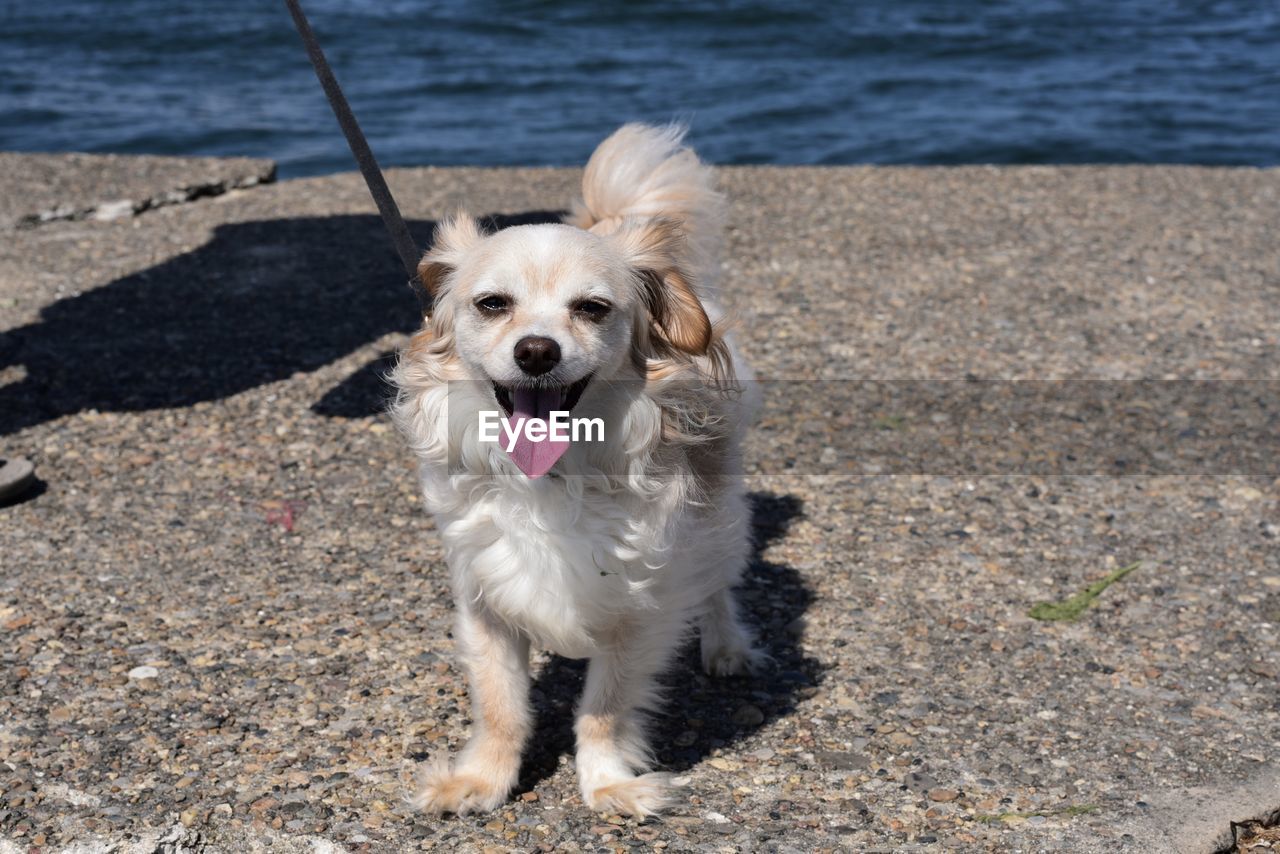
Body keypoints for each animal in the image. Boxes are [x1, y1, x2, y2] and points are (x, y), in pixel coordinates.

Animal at [391, 123, 757, 819]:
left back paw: (726, 648)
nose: (536, 350)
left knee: (719, 583)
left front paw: (608, 784)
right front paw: (482, 780)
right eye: (492, 304)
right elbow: (500, 704)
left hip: (717, 516)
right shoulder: (484, 596)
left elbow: (604, 709)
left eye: (591, 309)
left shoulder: (642, 610)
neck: (553, 478)